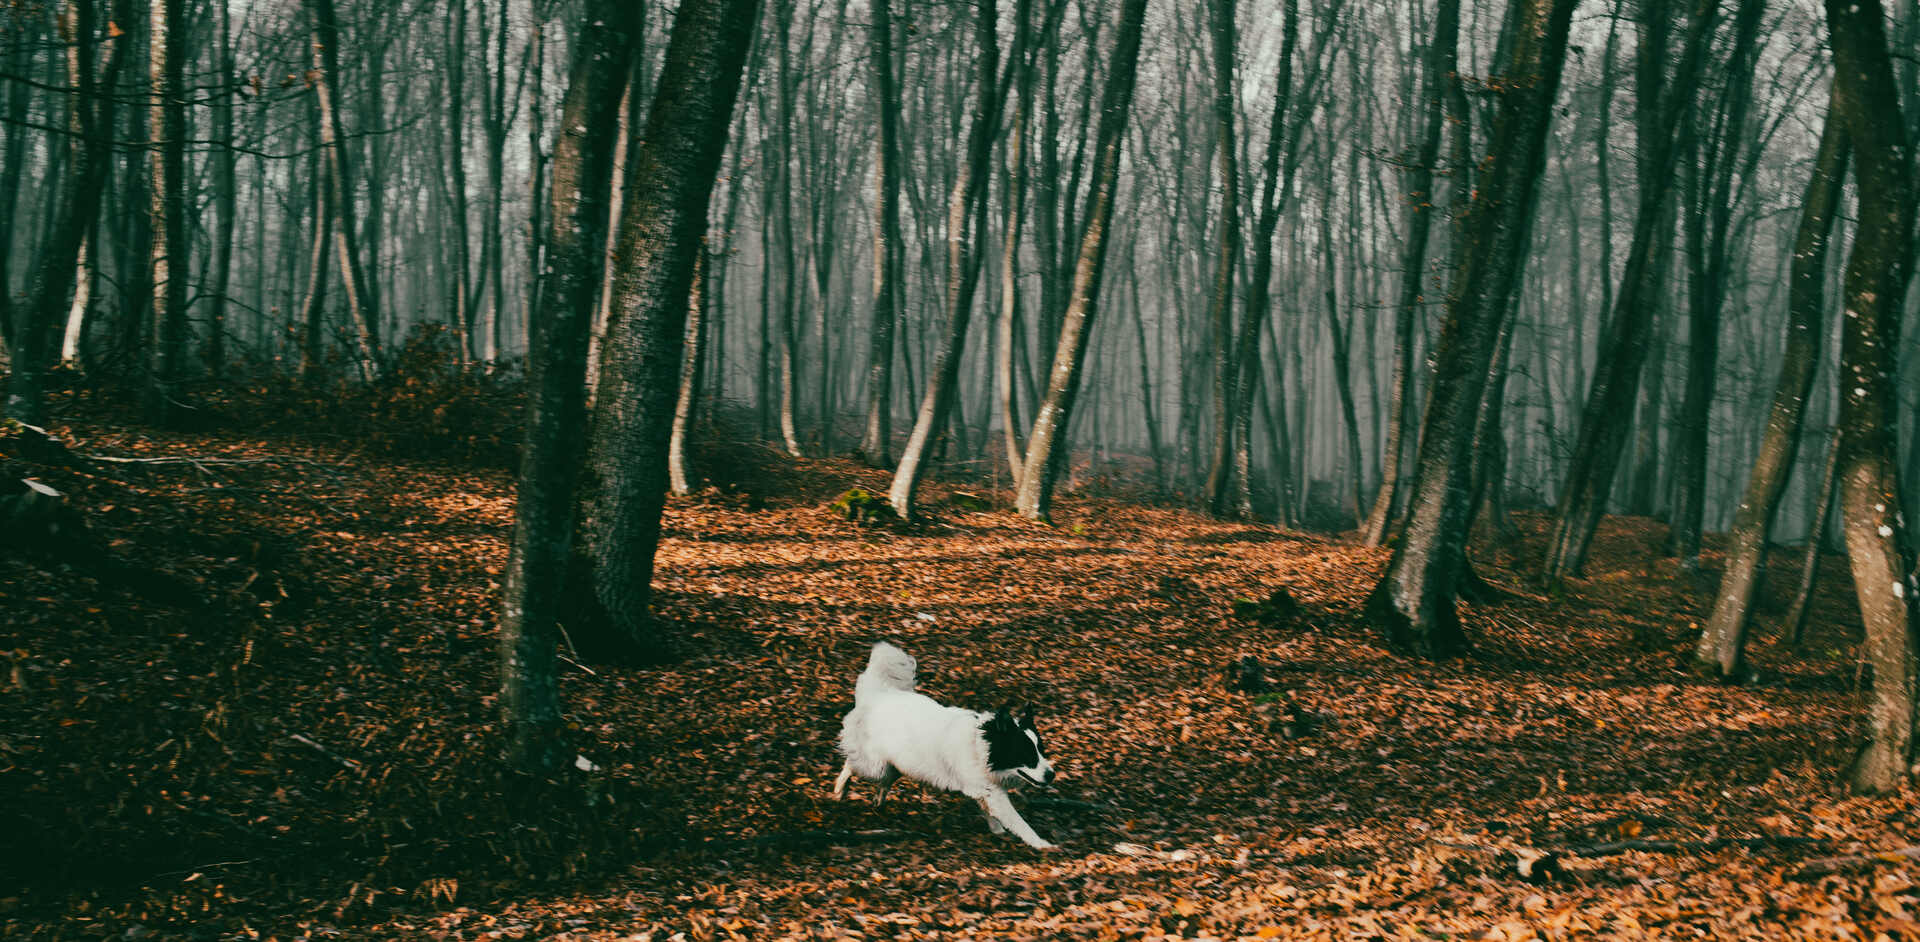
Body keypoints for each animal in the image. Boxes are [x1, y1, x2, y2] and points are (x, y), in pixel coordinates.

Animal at [829, 644, 1059, 851]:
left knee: (884, 781)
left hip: (896, 766)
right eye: (1026, 755)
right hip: (874, 766)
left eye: (1041, 750)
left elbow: (989, 812)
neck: (981, 745)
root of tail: (876, 695)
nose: (1052, 775)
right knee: (851, 764)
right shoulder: (993, 793)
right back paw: (840, 790)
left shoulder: (982, 789)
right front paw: (1042, 844)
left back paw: (878, 800)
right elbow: (1019, 823)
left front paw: (997, 829)